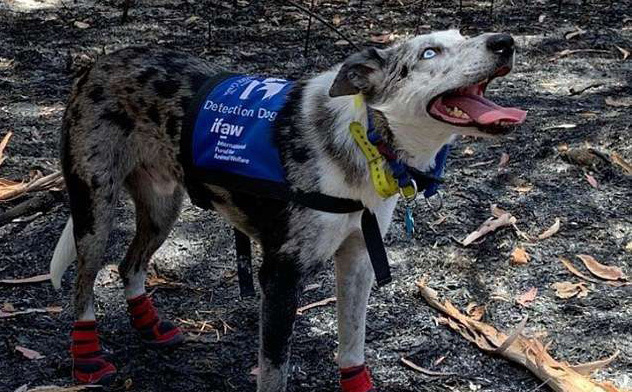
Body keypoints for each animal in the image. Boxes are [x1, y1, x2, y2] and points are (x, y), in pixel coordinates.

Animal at [48, 30, 524, 392]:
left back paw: (148, 325)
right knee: (84, 285)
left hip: (163, 207)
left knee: (129, 265)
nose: (504, 42)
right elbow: (274, 372)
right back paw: (87, 359)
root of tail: (100, 63)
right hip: (94, 212)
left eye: (462, 35)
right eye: (429, 52)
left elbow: (352, 347)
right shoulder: (280, 277)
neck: (365, 139)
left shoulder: (358, 260)